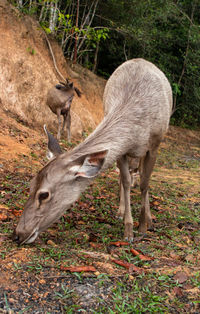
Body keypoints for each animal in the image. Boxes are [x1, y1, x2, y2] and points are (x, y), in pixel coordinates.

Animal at [13, 59, 172, 245]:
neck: (138, 129)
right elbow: (126, 181)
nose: (18, 234)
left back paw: (149, 219)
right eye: (30, 185)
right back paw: (121, 212)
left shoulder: (154, 144)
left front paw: (143, 227)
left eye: (43, 195)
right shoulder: (122, 151)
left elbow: (144, 183)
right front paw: (128, 229)